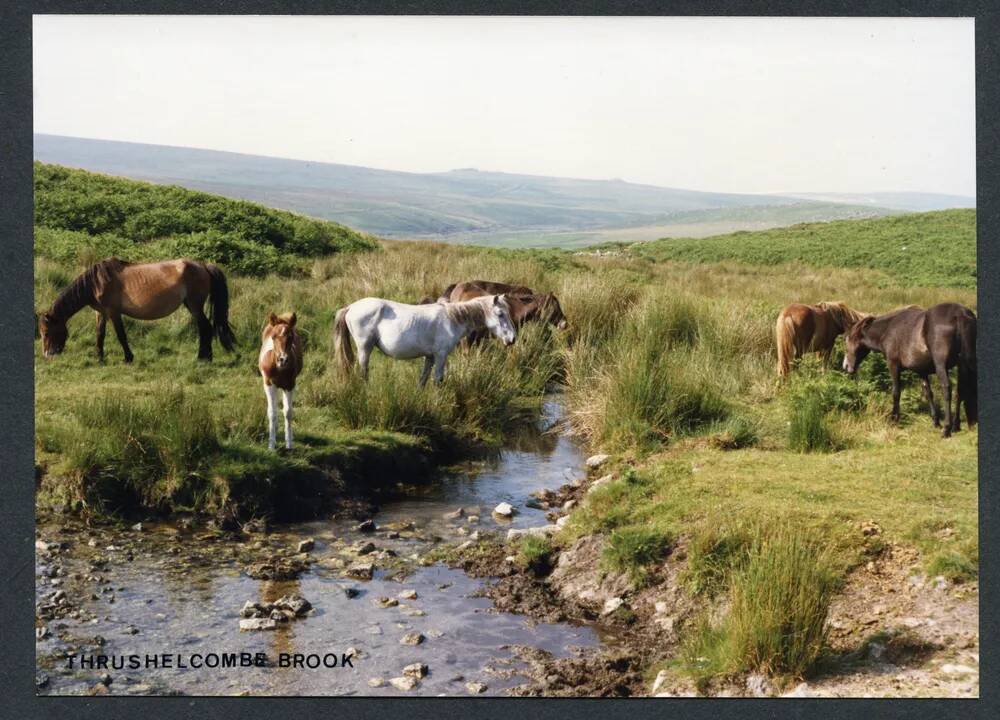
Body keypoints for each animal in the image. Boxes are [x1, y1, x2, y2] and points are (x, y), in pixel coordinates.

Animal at [37, 256, 236, 362]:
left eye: (46, 333)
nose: (47, 355)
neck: (96, 282)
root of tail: (203, 266)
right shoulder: (101, 313)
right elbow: (100, 334)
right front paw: (99, 357)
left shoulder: (113, 312)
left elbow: (121, 335)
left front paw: (128, 357)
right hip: (191, 305)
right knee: (205, 329)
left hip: (195, 306)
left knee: (205, 328)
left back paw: (203, 358)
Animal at [258, 310, 304, 448]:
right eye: (273, 337)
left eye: (291, 337)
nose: (283, 359)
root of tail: (282, 317)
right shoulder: (269, 383)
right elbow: (272, 412)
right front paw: (271, 444)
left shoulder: (290, 384)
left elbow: (288, 412)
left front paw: (289, 443)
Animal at [334, 294, 516, 386]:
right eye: (500, 314)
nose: (512, 339)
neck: (452, 319)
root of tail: (350, 307)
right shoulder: (441, 355)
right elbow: (438, 380)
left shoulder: (429, 357)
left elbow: (423, 379)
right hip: (365, 348)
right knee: (363, 373)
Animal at [844, 300, 976, 436]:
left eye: (847, 339)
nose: (846, 366)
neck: (888, 329)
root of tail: (959, 313)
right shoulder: (922, 371)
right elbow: (928, 393)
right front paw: (935, 421)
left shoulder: (893, 365)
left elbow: (896, 392)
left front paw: (894, 419)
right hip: (963, 364)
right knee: (960, 391)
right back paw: (955, 425)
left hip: (941, 365)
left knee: (947, 389)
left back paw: (947, 428)